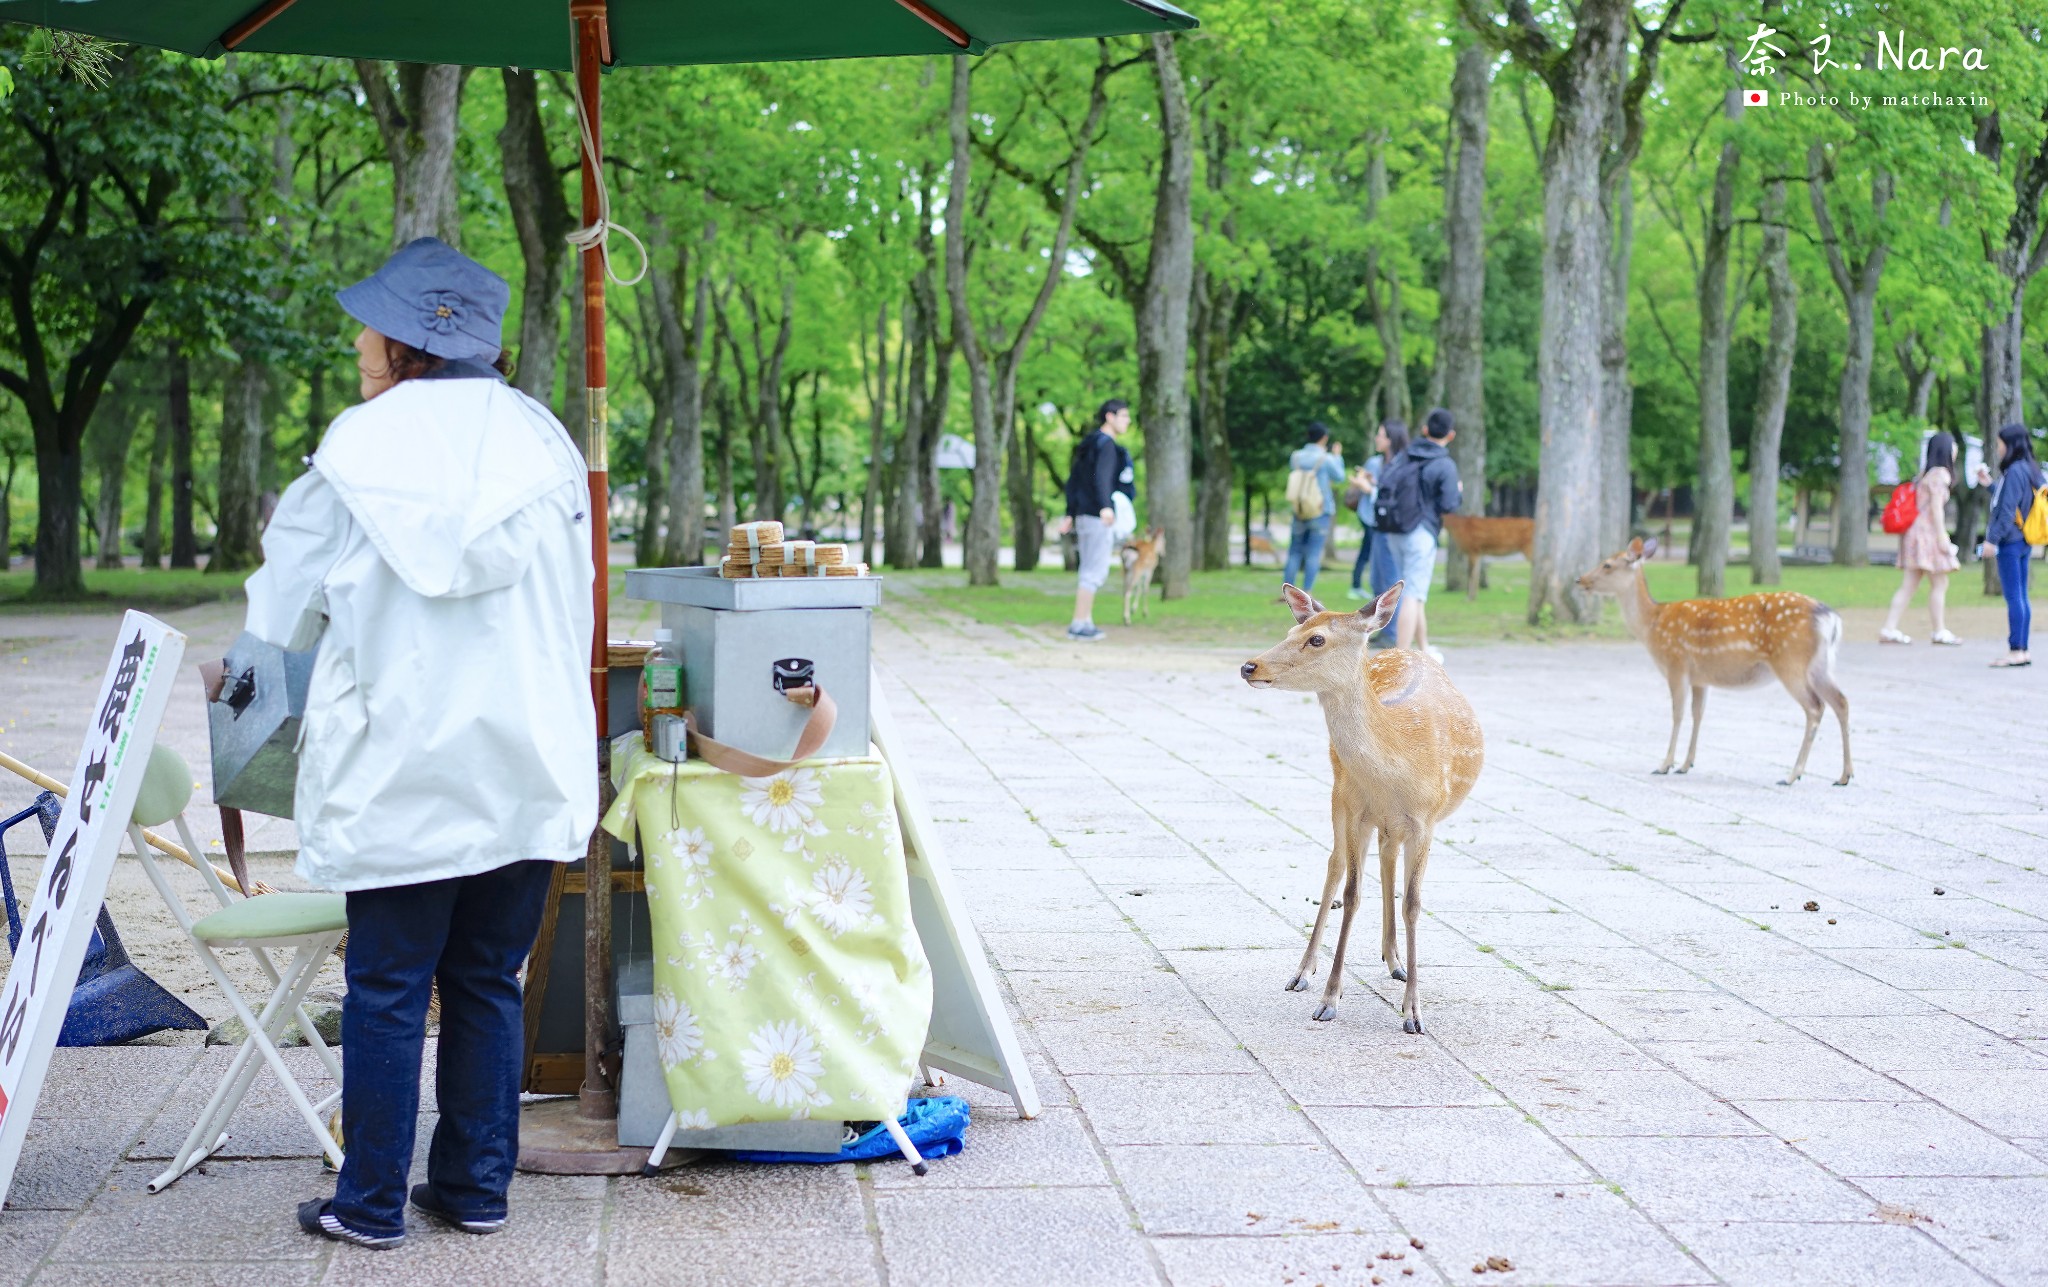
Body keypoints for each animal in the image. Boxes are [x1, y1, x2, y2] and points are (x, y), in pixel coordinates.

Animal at [1236, 582, 1482, 1036]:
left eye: (1316, 639)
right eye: (1292, 630)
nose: (1249, 666)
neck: (1398, 768)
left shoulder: (1425, 820)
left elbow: (1412, 902)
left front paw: (1414, 1012)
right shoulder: (1353, 810)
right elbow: (1350, 895)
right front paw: (1329, 999)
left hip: (1389, 824)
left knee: (1387, 863)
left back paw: (1395, 961)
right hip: (1340, 794)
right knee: (1335, 867)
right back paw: (1303, 971)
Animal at [1572, 541, 1851, 791]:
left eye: (1607, 564)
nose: (1579, 580)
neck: (1652, 625)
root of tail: (1831, 619)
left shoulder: (1676, 664)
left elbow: (1677, 714)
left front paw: (1665, 764)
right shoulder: (1700, 678)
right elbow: (1698, 714)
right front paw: (1686, 764)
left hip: (1791, 661)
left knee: (1815, 707)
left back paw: (1792, 775)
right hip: (1820, 667)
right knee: (1841, 701)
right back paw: (1844, 775)